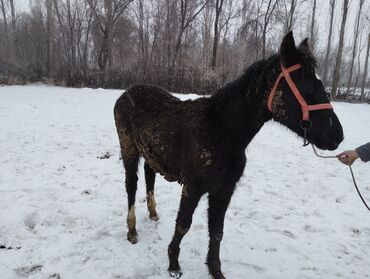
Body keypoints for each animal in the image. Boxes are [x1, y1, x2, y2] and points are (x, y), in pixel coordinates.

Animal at [113, 31, 344, 278]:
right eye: (306, 86)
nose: (337, 136)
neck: (220, 130)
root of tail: (127, 93)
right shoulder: (193, 187)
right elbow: (183, 224)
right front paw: (174, 264)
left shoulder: (224, 190)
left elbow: (217, 231)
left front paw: (215, 270)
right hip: (129, 151)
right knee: (131, 186)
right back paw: (132, 231)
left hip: (151, 155)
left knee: (149, 177)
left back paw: (153, 213)